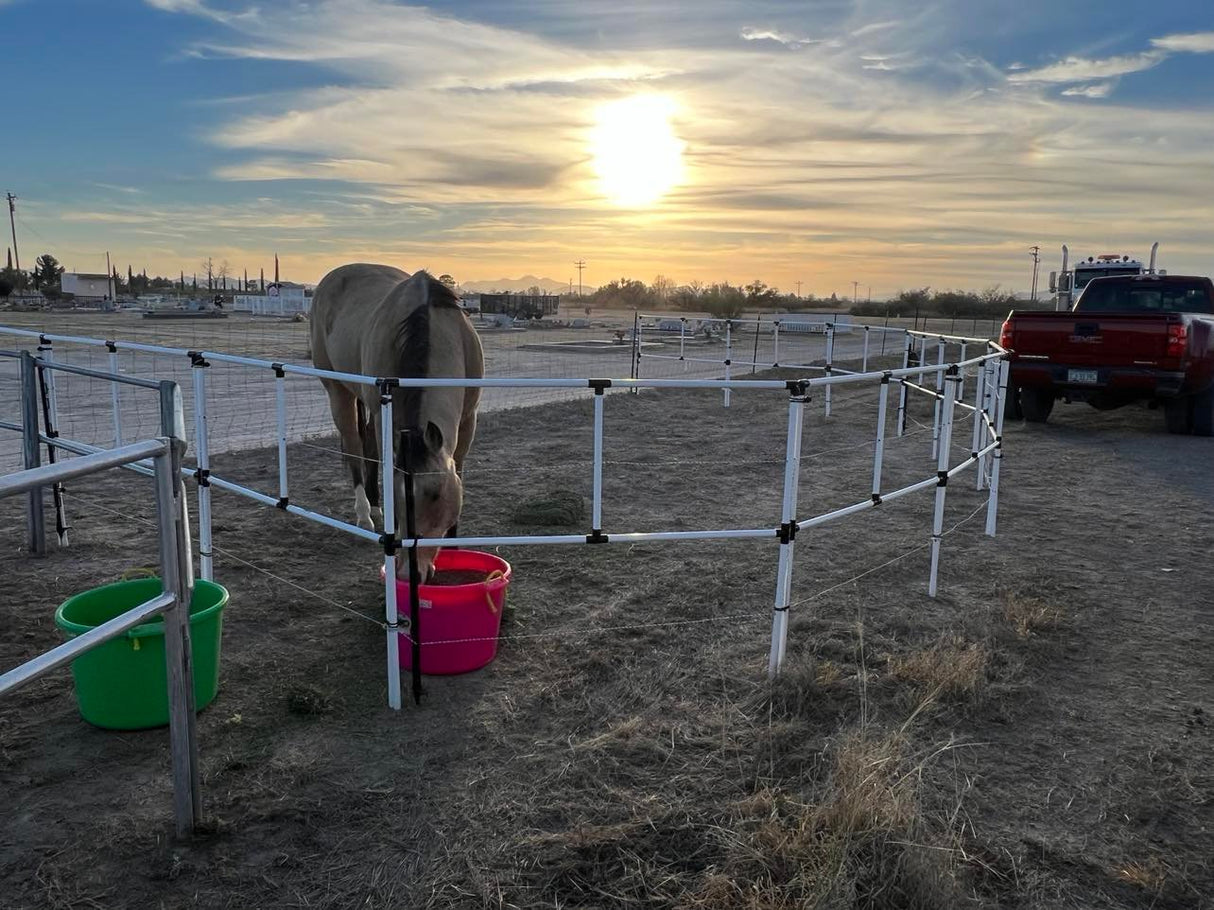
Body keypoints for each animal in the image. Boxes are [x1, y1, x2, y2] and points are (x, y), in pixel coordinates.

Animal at [310, 265, 484, 580]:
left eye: (435, 495)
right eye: (400, 499)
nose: (408, 574)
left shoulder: (468, 419)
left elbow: (460, 470)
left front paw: (453, 543)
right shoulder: (385, 416)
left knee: (366, 443)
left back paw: (375, 508)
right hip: (338, 391)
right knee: (354, 447)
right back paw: (365, 515)